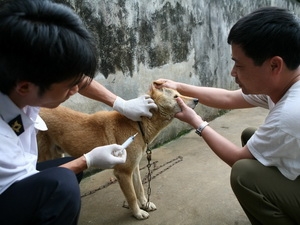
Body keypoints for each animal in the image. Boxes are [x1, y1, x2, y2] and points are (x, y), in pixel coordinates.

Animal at [37, 81, 199, 220]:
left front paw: (145, 204)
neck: (138, 123)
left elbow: (140, 189)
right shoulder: (123, 173)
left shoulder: (134, 168)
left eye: (180, 93)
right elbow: (132, 196)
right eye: (176, 97)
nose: (197, 99)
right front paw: (138, 213)